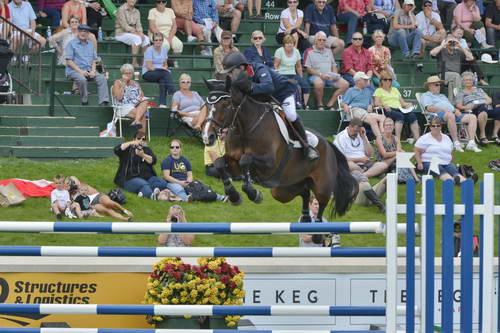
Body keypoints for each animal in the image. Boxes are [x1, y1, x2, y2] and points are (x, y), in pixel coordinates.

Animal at [201, 75, 358, 220]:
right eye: (206, 105)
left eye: (226, 104)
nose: (207, 136)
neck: (245, 129)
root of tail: (329, 144)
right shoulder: (233, 164)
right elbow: (219, 163)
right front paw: (234, 196)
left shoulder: (269, 163)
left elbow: (245, 160)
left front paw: (253, 193)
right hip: (285, 189)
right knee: (304, 192)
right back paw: (305, 218)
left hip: (322, 187)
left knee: (321, 205)